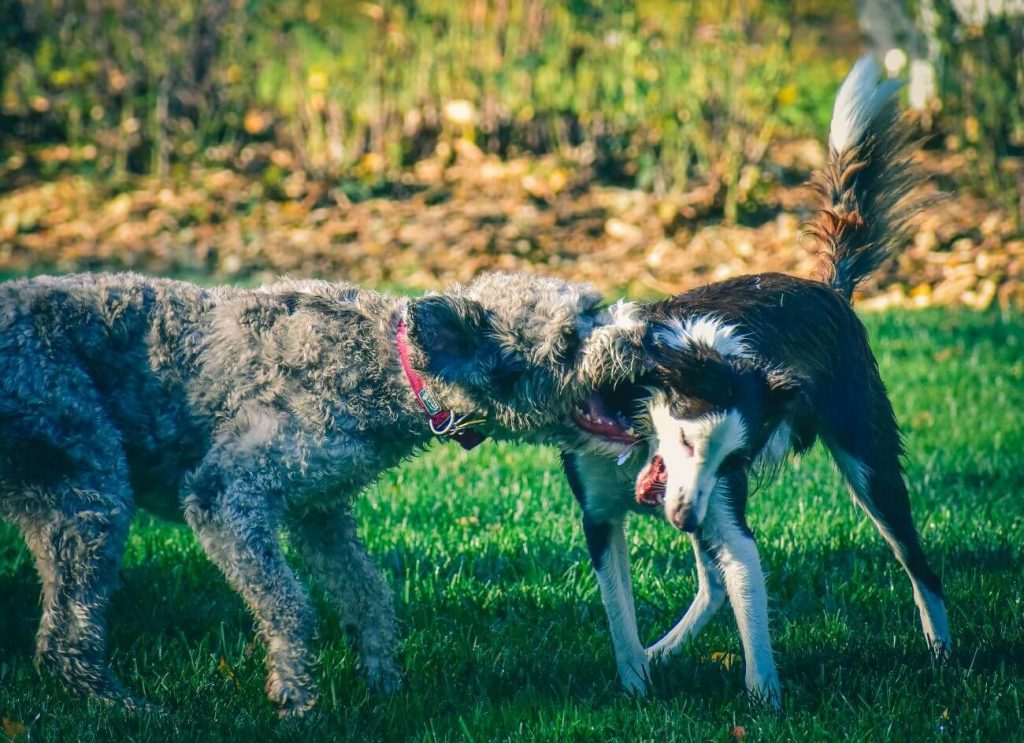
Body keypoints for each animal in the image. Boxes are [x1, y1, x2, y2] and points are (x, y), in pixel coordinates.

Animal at [0, 270, 638, 712]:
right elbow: (291, 606)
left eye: (595, 308)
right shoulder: (226, 496)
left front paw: (382, 684)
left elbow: (369, 596)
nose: (643, 337)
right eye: (568, 341)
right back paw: (124, 708)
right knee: (64, 637)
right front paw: (295, 695)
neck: (391, 366)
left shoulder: (321, 512)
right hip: (92, 489)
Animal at [565, 58, 946, 708]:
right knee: (712, 584)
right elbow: (621, 618)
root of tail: (827, 288)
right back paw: (662, 651)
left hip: (871, 465)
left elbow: (750, 605)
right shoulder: (603, 518)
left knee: (920, 565)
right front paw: (637, 683)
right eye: (686, 443)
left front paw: (765, 702)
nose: (684, 521)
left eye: (729, 460)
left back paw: (945, 654)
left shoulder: (725, 512)